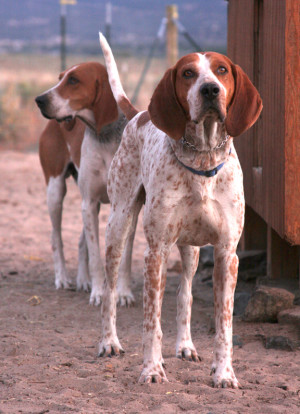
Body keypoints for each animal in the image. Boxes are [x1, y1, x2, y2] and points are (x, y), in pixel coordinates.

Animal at [35, 62, 138, 308]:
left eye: (74, 80)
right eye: (60, 78)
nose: (39, 100)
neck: (107, 138)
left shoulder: (129, 207)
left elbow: (125, 256)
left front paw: (123, 293)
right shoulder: (89, 202)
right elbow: (95, 256)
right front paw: (99, 293)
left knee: (81, 242)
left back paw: (83, 280)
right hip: (56, 191)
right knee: (56, 237)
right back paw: (62, 277)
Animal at [99, 35, 262, 388]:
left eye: (222, 70)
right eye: (188, 73)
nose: (210, 90)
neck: (202, 161)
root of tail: (140, 114)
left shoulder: (227, 253)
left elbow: (224, 325)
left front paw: (224, 373)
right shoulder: (155, 251)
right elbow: (151, 322)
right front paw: (151, 369)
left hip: (191, 250)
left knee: (184, 294)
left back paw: (186, 346)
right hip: (118, 228)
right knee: (108, 291)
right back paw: (108, 342)